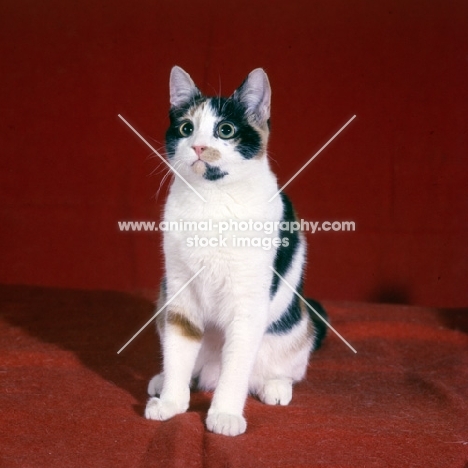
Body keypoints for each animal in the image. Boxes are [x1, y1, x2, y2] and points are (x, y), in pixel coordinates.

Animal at [144, 65, 328, 436]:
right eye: (186, 128)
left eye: (225, 130)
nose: (199, 146)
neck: (211, 200)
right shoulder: (180, 293)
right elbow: (178, 350)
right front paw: (171, 403)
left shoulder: (247, 304)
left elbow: (237, 366)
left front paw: (225, 414)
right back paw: (163, 380)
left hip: (296, 326)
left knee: (285, 367)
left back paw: (275, 385)